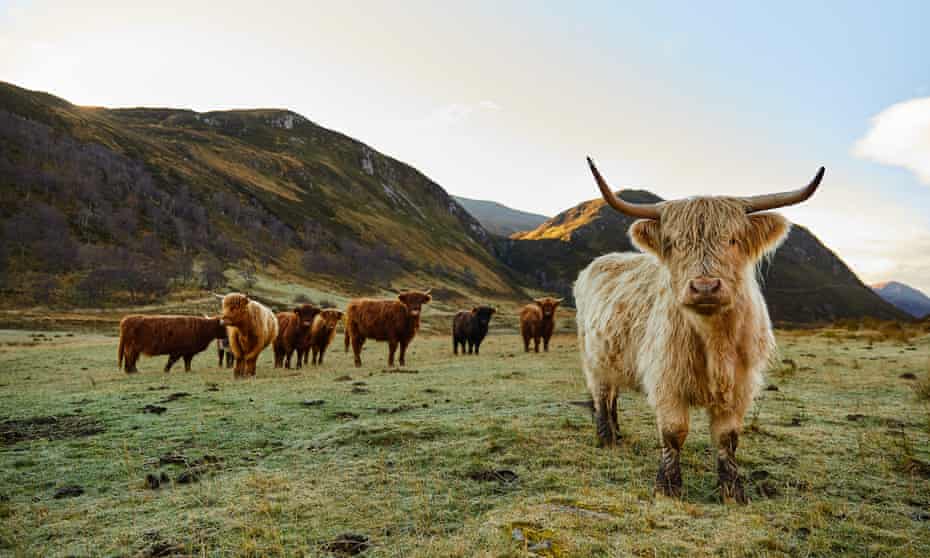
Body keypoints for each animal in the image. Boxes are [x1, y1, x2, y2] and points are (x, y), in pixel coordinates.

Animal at [576, 156, 824, 504]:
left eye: (732, 240)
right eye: (675, 243)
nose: (705, 287)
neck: (713, 339)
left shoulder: (739, 386)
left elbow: (727, 437)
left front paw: (733, 492)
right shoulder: (667, 380)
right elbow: (673, 432)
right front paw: (668, 487)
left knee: (612, 397)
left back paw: (618, 433)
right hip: (593, 359)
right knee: (601, 395)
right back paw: (606, 438)